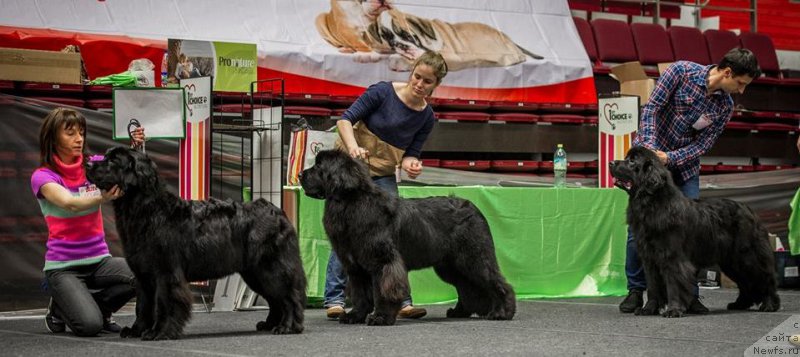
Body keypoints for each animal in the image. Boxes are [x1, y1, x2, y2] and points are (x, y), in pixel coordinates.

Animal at [86, 147, 306, 340]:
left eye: (113, 161)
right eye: (104, 156)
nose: (87, 163)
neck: (146, 210)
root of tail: (278, 211)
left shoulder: (166, 273)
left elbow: (163, 303)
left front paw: (159, 332)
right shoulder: (142, 274)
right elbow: (143, 306)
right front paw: (136, 330)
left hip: (271, 268)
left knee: (289, 297)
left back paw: (288, 326)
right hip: (254, 273)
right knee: (275, 299)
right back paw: (269, 324)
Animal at [296, 149, 516, 324]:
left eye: (319, 167)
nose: (299, 174)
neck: (350, 203)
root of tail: (474, 208)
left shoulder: (383, 262)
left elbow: (382, 291)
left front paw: (381, 317)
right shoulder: (356, 267)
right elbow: (360, 294)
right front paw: (354, 316)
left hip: (473, 257)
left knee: (496, 281)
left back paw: (502, 312)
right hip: (450, 265)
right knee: (466, 286)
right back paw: (459, 312)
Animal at [612, 146, 776, 316]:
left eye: (632, 161)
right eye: (627, 158)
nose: (611, 162)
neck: (652, 204)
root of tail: (751, 211)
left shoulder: (672, 257)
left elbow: (674, 284)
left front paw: (673, 310)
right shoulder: (649, 259)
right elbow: (653, 287)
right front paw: (648, 309)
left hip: (747, 256)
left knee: (764, 277)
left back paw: (769, 305)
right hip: (731, 261)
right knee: (745, 283)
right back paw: (739, 304)